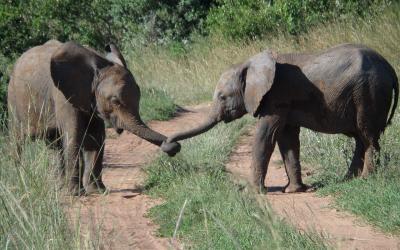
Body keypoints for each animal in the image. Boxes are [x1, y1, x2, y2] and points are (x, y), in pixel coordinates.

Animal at [8, 39, 180, 195]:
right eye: (115, 101)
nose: (173, 147)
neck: (99, 67)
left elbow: (96, 138)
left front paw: (98, 191)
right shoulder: (63, 96)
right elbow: (74, 136)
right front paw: (76, 194)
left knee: (54, 145)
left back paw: (59, 188)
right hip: (13, 102)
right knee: (18, 142)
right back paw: (20, 183)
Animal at [164, 43, 398, 193]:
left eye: (222, 97)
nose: (171, 147)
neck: (248, 63)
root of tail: (390, 67)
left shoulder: (276, 97)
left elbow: (265, 136)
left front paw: (253, 191)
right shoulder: (284, 103)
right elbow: (287, 140)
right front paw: (293, 191)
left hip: (369, 93)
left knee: (368, 136)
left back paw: (366, 179)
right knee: (361, 138)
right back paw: (348, 179)